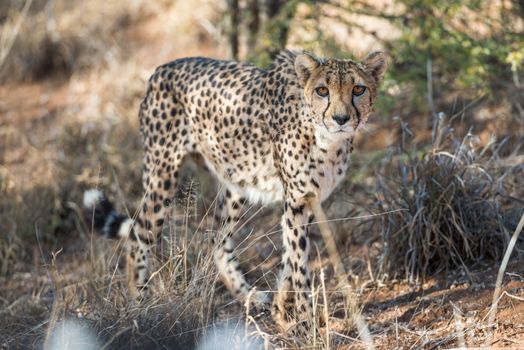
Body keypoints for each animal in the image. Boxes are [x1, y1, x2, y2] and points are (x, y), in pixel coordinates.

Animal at [84, 50, 386, 328]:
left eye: (358, 89)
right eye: (323, 90)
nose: (341, 118)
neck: (325, 140)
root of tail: (163, 67)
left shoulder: (305, 202)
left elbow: (290, 259)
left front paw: (281, 308)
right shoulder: (297, 201)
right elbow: (299, 264)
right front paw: (303, 321)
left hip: (235, 181)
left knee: (217, 240)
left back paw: (249, 295)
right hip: (163, 173)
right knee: (140, 235)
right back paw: (139, 306)